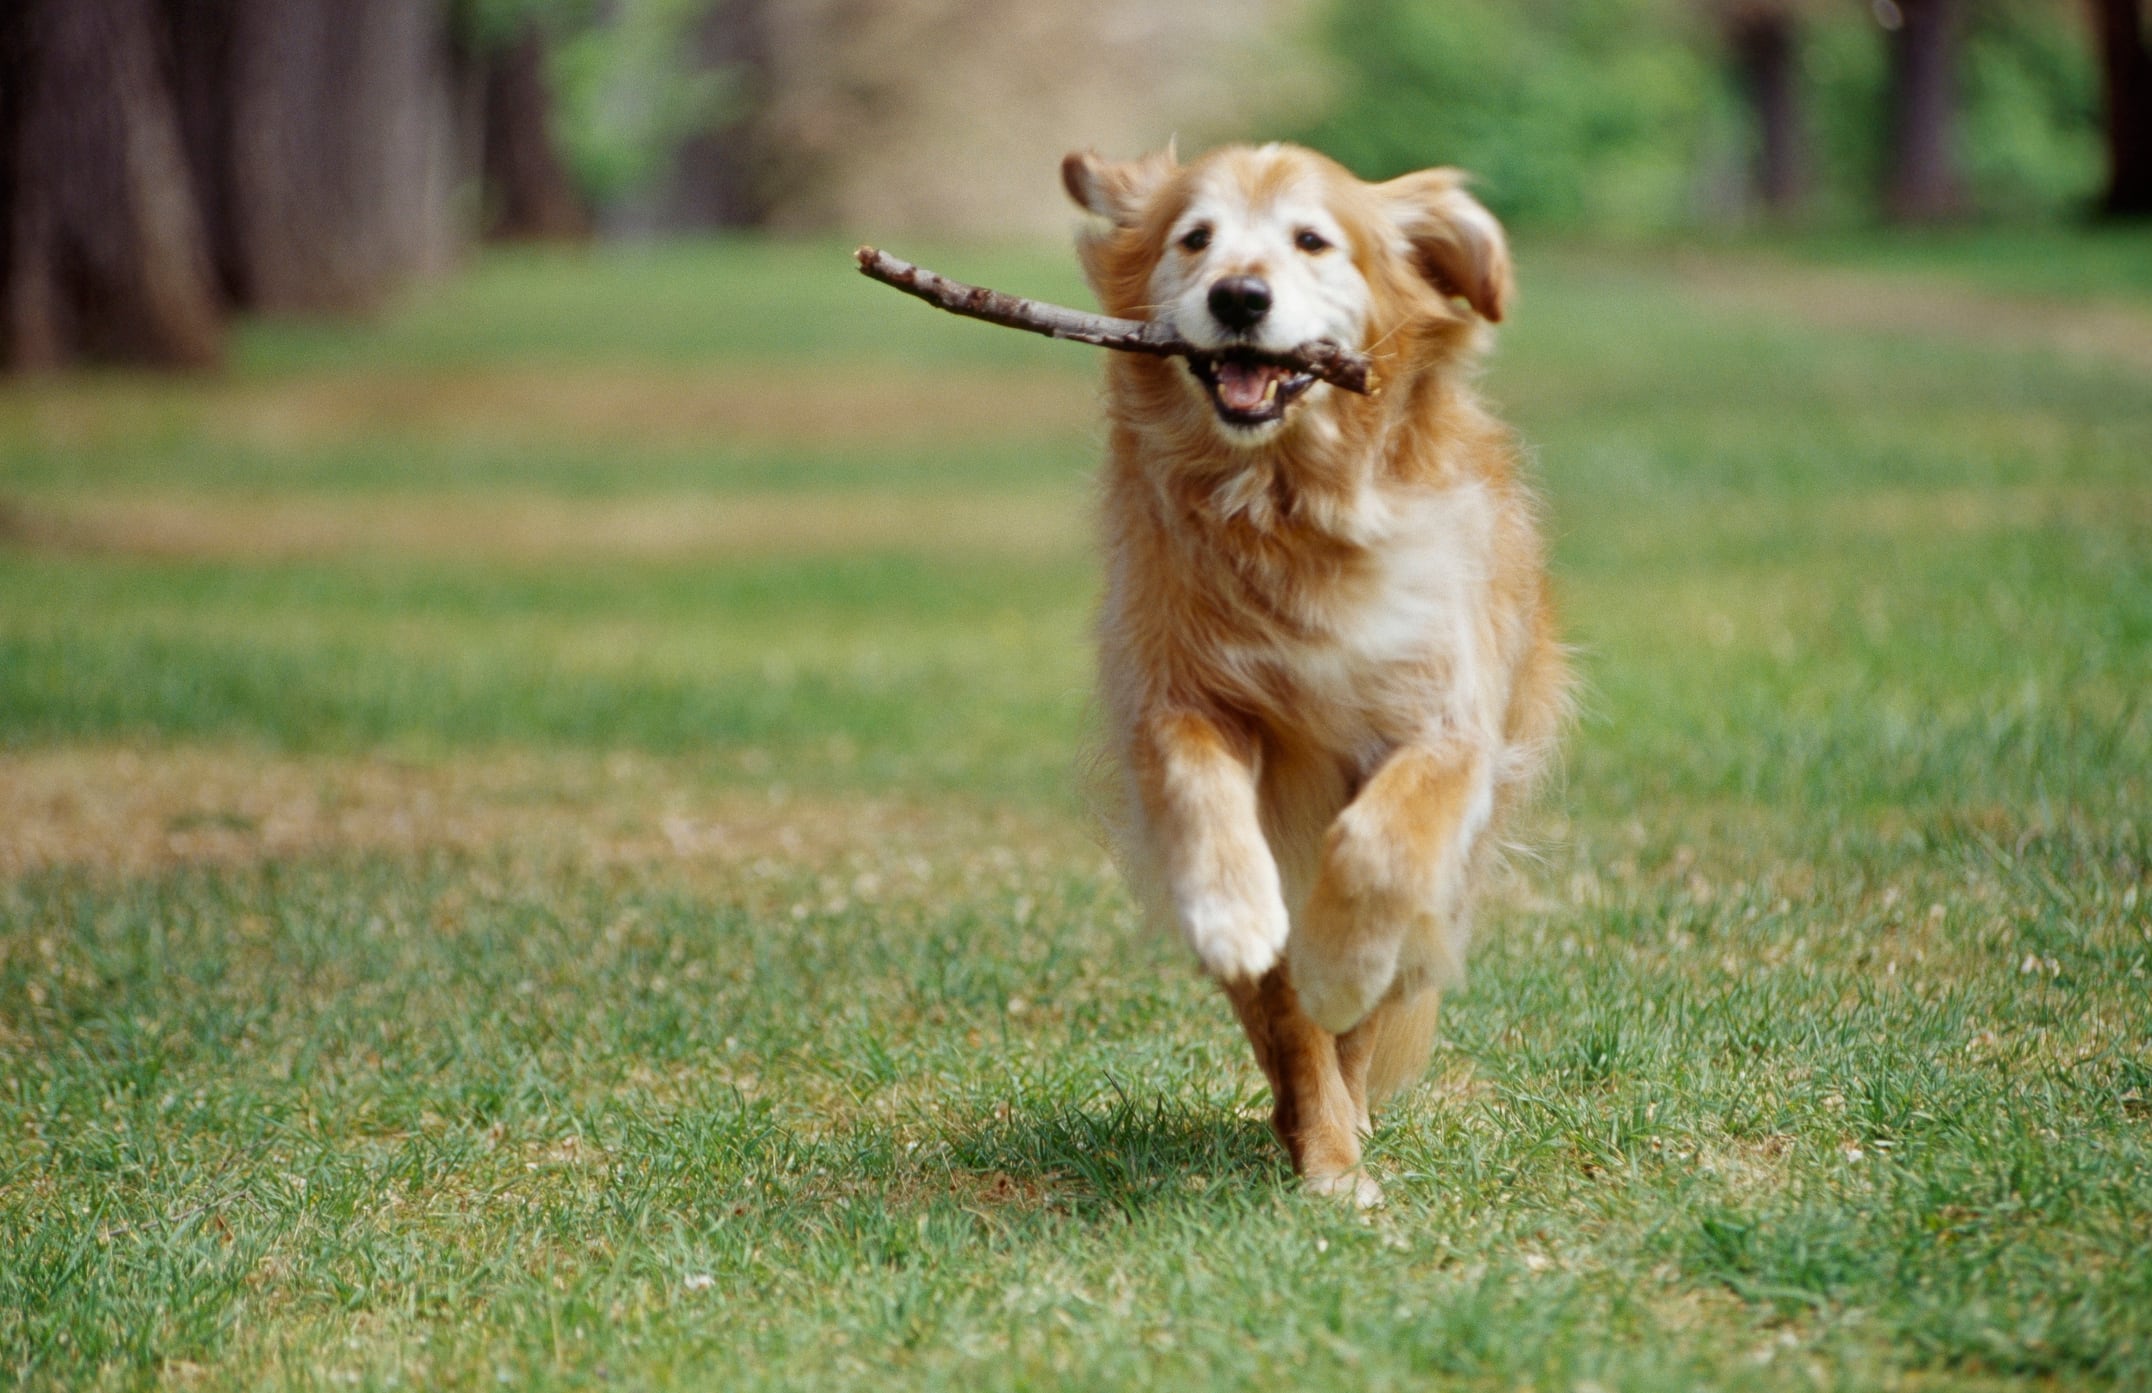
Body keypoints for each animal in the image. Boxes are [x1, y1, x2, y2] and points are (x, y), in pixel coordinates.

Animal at [1067, 147, 1575, 1205]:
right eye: (1196, 238)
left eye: (1312, 240)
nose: (1239, 295)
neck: (1288, 507)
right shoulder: (1178, 690)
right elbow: (1199, 789)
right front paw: (1232, 914)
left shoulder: (1444, 723)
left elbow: (1378, 851)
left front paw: (1340, 967)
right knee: (1279, 1017)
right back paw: (1320, 1133)